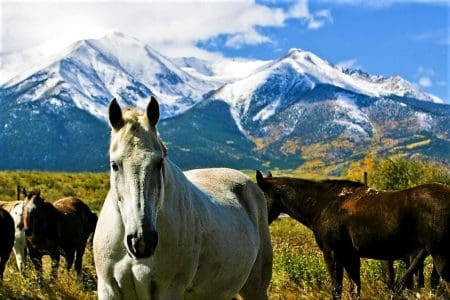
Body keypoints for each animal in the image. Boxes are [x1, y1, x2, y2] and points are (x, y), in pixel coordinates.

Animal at [93, 97, 272, 298]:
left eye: (159, 162)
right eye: (114, 165)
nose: (142, 241)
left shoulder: (170, 290)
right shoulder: (108, 289)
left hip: (256, 289)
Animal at [256, 171, 450, 300]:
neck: (324, 205)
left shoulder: (332, 254)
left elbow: (337, 289)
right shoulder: (350, 256)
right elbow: (354, 289)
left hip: (440, 256)